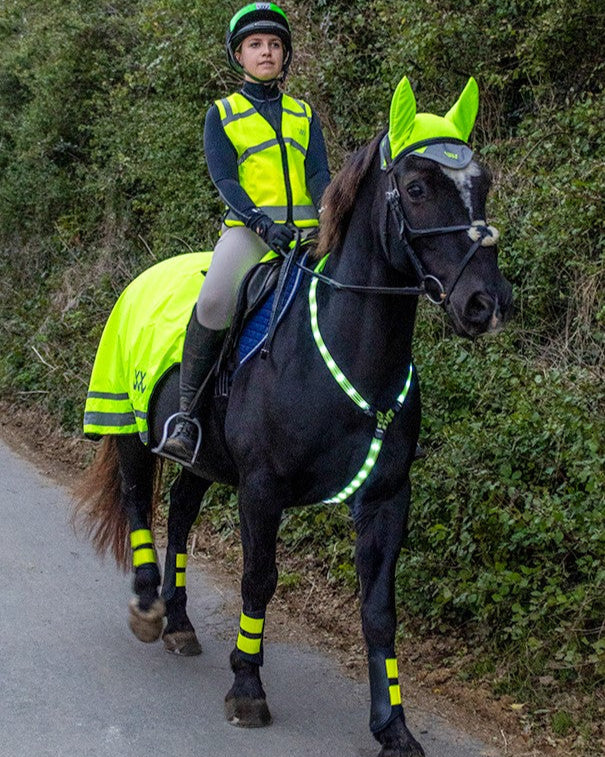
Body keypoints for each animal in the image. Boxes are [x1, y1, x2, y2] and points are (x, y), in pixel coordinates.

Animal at [74, 76, 512, 757]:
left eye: (482, 184)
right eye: (416, 189)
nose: (485, 304)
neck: (349, 353)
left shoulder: (388, 497)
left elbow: (379, 609)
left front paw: (394, 727)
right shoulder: (262, 489)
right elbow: (259, 579)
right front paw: (247, 688)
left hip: (202, 458)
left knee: (181, 512)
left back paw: (178, 621)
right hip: (129, 433)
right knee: (138, 503)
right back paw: (148, 608)